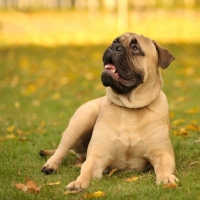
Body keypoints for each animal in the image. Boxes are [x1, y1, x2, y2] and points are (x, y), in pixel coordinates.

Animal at [39, 32, 177, 190]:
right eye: (114, 41)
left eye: (135, 48)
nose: (115, 47)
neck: (130, 108)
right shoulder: (98, 156)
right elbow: (87, 169)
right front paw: (78, 182)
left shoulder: (162, 154)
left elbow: (164, 166)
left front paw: (166, 178)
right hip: (82, 121)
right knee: (61, 150)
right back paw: (50, 165)